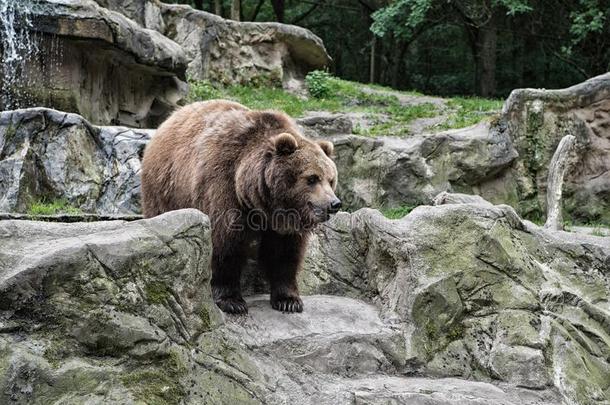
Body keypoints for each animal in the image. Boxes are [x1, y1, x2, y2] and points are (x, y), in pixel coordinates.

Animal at [142, 99, 340, 314]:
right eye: (312, 178)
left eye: (331, 179)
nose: (334, 204)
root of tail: (170, 118)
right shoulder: (223, 185)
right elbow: (226, 245)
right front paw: (232, 301)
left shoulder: (284, 221)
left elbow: (285, 252)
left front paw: (289, 300)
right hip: (166, 189)